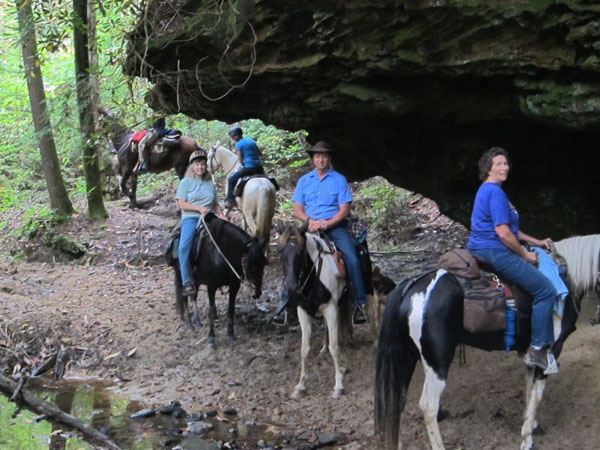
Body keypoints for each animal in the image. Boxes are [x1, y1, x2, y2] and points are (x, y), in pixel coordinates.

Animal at [173, 212, 268, 348]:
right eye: (248, 264)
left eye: (263, 265)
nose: (257, 293)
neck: (221, 254)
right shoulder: (211, 286)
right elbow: (211, 310)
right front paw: (211, 338)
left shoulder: (234, 286)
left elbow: (231, 309)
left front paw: (231, 334)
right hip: (182, 276)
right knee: (184, 297)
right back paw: (190, 325)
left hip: (197, 280)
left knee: (193, 296)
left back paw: (198, 322)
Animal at [376, 236, 600, 450]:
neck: (567, 280)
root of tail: (412, 287)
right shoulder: (551, 351)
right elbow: (537, 395)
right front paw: (527, 438)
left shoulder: (530, 354)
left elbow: (529, 390)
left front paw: (531, 425)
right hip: (437, 361)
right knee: (429, 406)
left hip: (408, 356)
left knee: (399, 401)